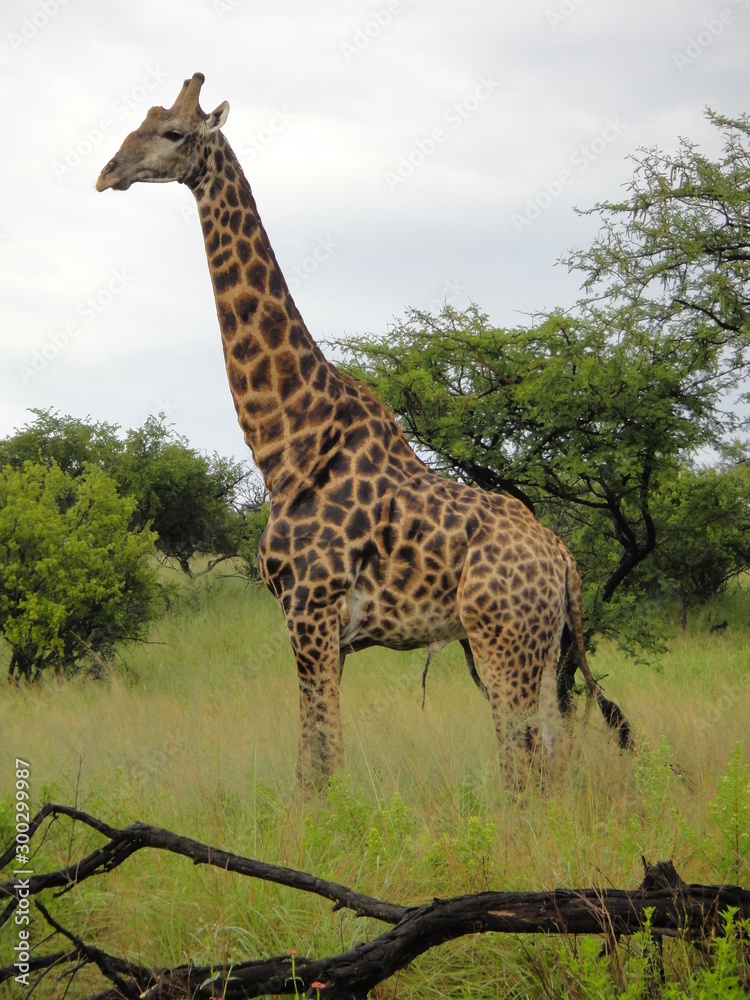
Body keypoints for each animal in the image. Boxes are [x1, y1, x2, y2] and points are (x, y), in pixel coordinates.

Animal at [96, 73, 631, 790]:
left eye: (173, 133)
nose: (108, 172)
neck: (284, 441)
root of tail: (565, 559)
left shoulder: (310, 614)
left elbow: (320, 763)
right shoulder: (323, 630)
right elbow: (316, 759)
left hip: (502, 638)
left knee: (520, 763)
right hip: (543, 649)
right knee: (551, 757)